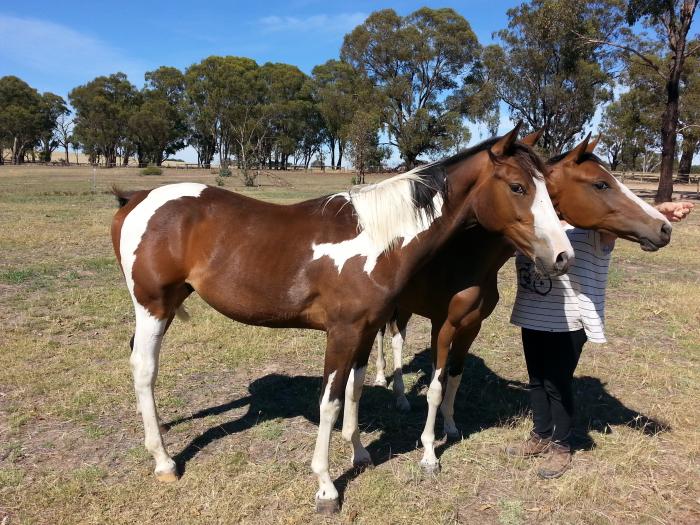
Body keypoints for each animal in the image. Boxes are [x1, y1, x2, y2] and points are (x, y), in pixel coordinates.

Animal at [110, 124, 574, 513]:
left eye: (550, 189)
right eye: (517, 186)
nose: (562, 256)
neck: (377, 239)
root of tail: (137, 198)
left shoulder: (366, 331)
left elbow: (355, 390)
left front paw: (361, 453)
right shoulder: (343, 333)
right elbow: (330, 403)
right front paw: (326, 487)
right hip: (154, 307)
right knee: (144, 369)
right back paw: (164, 461)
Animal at [371, 131, 673, 473]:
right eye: (601, 184)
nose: (664, 227)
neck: (465, 258)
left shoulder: (470, 327)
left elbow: (455, 378)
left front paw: (450, 427)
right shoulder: (443, 326)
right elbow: (436, 388)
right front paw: (428, 454)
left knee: (396, 337)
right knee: (388, 339)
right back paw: (389, 386)